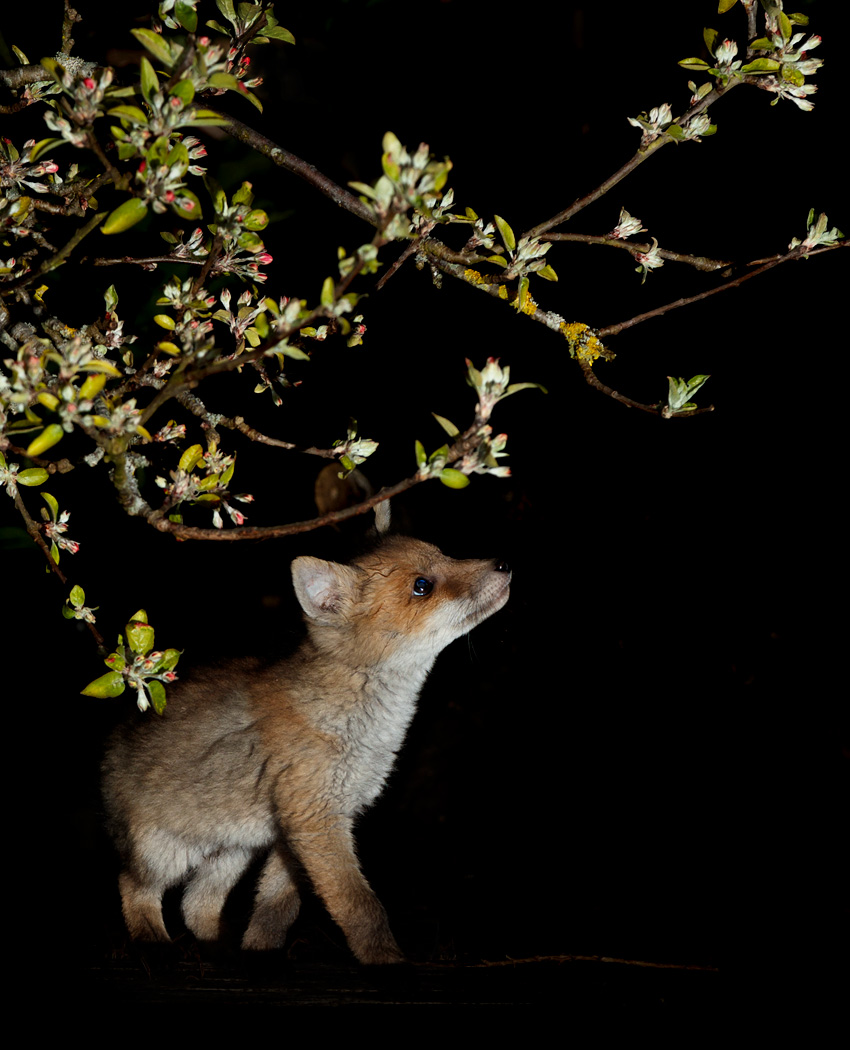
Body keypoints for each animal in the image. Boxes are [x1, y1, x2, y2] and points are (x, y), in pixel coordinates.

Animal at [101, 507, 510, 965]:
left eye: (445, 554)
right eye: (423, 585)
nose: (503, 564)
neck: (363, 729)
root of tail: (116, 737)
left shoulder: (299, 829)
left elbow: (278, 908)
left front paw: (261, 952)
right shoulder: (315, 820)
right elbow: (361, 906)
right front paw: (385, 960)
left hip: (232, 851)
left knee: (196, 904)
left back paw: (220, 950)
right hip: (165, 854)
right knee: (132, 886)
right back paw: (153, 942)